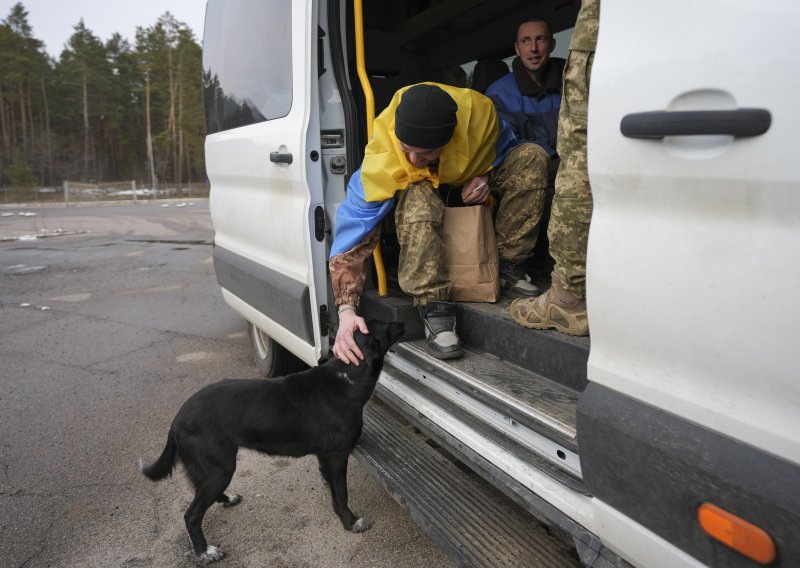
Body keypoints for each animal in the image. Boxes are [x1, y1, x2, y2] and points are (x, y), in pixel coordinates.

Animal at [141, 318, 404, 560]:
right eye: (386, 325)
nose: (402, 321)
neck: (347, 376)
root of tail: (178, 417)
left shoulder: (324, 454)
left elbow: (329, 481)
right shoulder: (338, 454)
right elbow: (341, 494)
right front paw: (351, 523)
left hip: (208, 468)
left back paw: (227, 499)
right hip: (220, 468)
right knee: (191, 515)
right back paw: (205, 552)